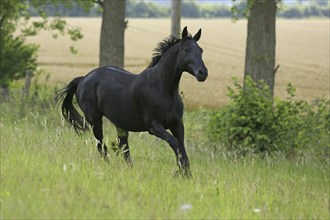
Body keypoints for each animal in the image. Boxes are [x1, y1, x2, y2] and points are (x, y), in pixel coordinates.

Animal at [55, 26, 208, 177]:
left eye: (201, 50)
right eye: (186, 50)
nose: (203, 73)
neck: (163, 89)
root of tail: (83, 79)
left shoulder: (177, 125)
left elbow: (182, 148)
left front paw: (187, 175)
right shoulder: (153, 126)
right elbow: (175, 144)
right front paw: (181, 173)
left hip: (119, 123)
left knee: (123, 147)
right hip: (95, 120)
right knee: (101, 145)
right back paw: (109, 167)